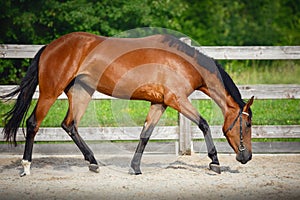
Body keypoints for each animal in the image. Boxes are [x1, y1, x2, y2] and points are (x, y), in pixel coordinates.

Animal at [0, 31, 253, 177]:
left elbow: (145, 135)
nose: (247, 157)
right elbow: (204, 124)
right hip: (50, 92)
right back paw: (26, 166)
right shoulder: (177, 99)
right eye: (248, 124)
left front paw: (135, 167)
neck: (181, 61)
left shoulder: (159, 103)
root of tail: (50, 46)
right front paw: (215, 162)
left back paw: (93, 162)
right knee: (33, 123)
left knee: (69, 125)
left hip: (81, 92)